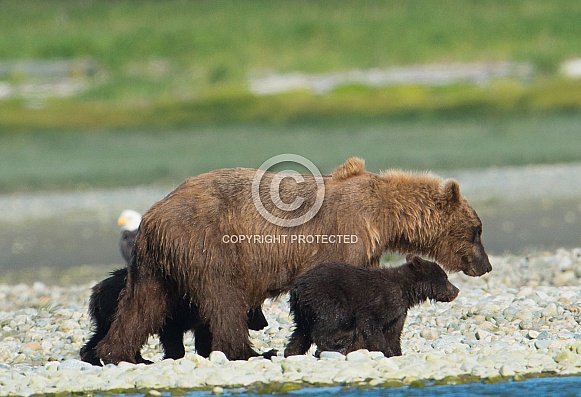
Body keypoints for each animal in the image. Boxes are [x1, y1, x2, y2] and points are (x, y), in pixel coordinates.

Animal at [96, 156, 490, 360]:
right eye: (478, 229)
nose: (484, 265)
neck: (382, 215)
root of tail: (152, 216)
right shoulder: (342, 235)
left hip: (154, 262)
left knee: (141, 305)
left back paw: (114, 352)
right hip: (209, 243)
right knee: (223, 299)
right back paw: (247, 351)